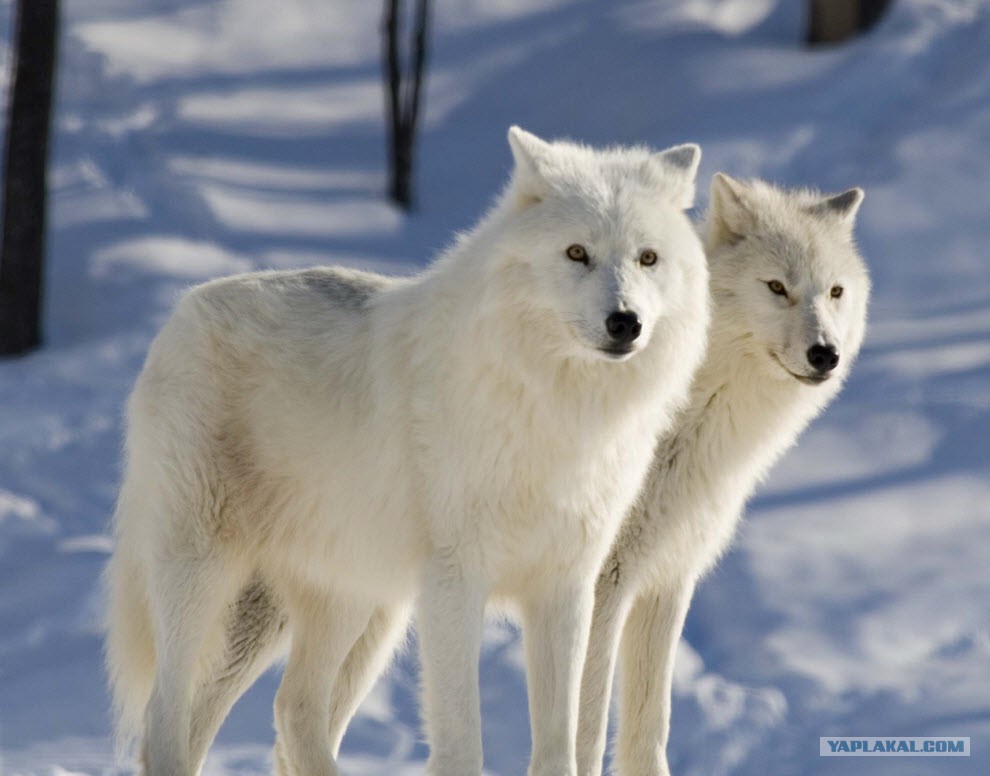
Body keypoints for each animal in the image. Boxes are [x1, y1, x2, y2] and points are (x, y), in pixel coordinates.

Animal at [104, 124, 712, 772]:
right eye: (577, 253)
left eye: (647, 258)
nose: (626, 322)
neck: (558, 410)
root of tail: (183, 308)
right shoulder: (455, 585)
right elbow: (462, 742)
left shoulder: (567, 588)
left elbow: (558, 744)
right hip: (206, 575)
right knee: (164, 717)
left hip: (356, 603)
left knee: (293, 709)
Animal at [576, 176, 872, 776]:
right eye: (777, 287)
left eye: (835, 292)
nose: (825, 354)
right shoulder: (601, 585)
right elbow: (588, 732)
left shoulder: (665, 578)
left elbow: (649, 730)